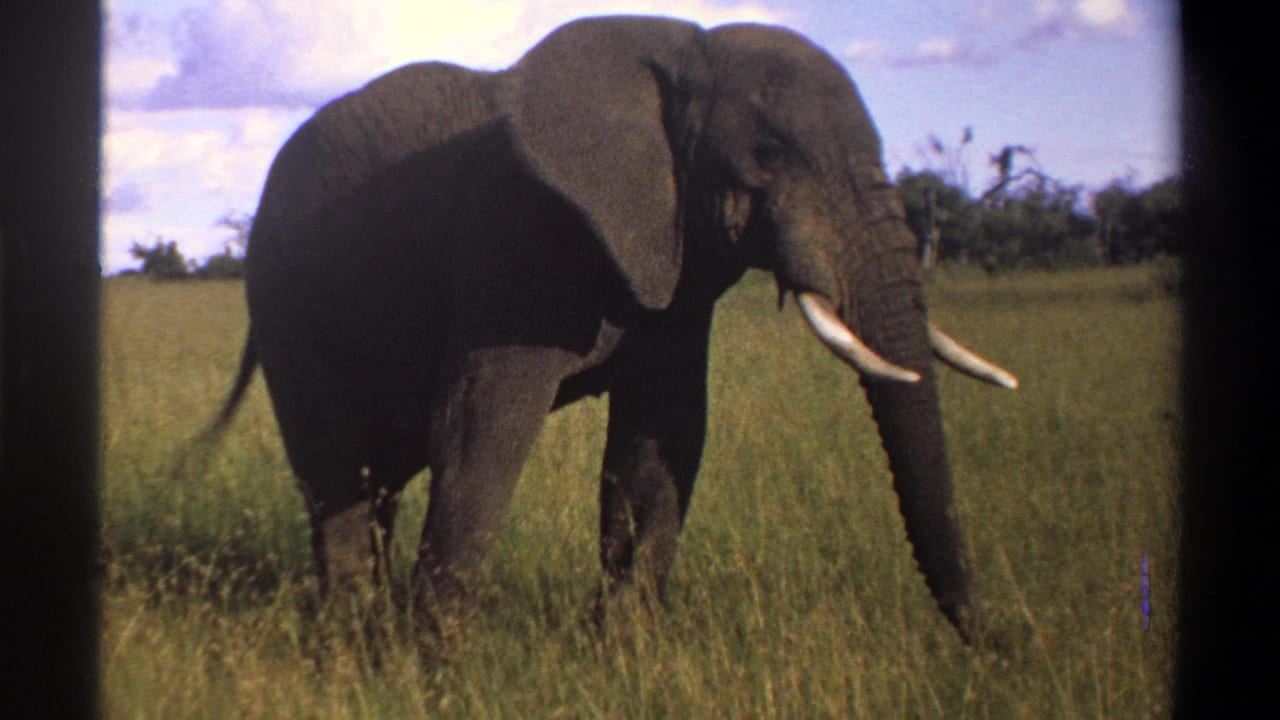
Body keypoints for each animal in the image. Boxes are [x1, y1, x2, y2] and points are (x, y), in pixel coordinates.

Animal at [212, 15, 1018, 652]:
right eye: (768, 156)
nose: (1004, 643)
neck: (685, 53)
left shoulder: (673, 265)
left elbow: (662, 440)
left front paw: (624, 656)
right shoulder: (517, 237)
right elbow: (481, 428)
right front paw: (429, 672)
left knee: (373, 479)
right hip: (287, 303)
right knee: (337, 472)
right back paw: (350, 644)